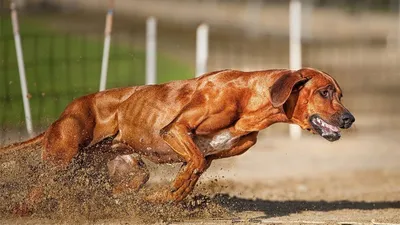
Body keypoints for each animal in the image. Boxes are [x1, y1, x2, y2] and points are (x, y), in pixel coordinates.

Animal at [1, 67, 354, 212]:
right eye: (324, 92)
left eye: (340, 93)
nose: (349, 119)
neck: (252, 100)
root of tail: (62, 114)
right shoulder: (174, 130)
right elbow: (191, 163)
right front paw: (171, 191)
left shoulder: (209, 156)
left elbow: (193, 172)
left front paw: (164, 198)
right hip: (62, 159)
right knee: (37, 188)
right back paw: (22, 210)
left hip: (129, 170)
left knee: (118, 190)